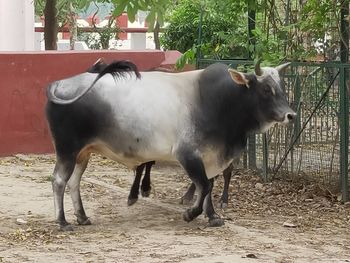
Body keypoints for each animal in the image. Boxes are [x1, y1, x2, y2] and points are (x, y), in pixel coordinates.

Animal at [44, 60, 296, 231]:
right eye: (266, 89)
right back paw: (63, 221)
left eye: (282, 88)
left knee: (74, 182)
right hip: (67, 150)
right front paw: (190, 214)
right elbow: (204, 185)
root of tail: (60, 83)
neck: (218, 101)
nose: (291, 115)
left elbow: (210, 186)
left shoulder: (211, 157)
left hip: (83, 153)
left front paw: (213, 216)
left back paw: (82, 216)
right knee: (59, 180)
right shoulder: (187, 154)